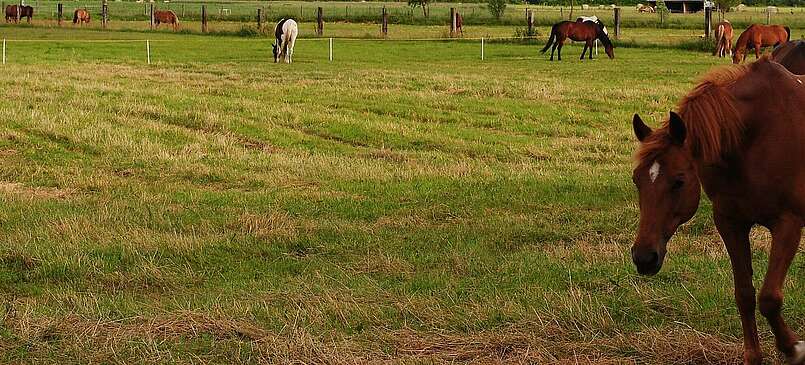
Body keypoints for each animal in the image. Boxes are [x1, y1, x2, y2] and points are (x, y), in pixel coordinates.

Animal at [632, 58, 800, 362]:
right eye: (635, 179)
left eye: (679, 181)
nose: (644, 258)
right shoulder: (730, 222)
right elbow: (744, 294)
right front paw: (753, 357)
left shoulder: (788, 223)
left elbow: (769, 298)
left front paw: (794, 348)